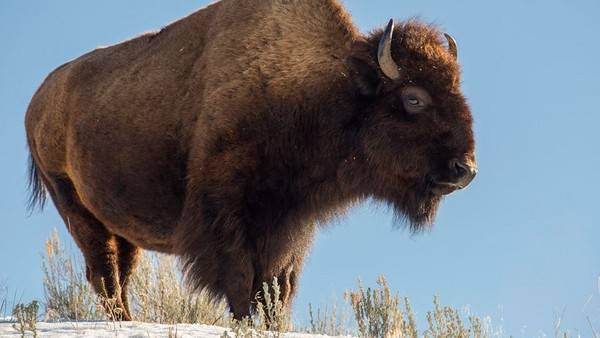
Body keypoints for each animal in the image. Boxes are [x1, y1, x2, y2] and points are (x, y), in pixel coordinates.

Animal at [25, 0, 478, 320]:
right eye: (414, 98)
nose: (465, 170)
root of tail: (38, 101)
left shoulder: (291, 226)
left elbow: (279, 288)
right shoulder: (229, 217)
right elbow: (242, 283)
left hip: (120, 229)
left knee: (117, 275)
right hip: (78, 212)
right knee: (104, 275)